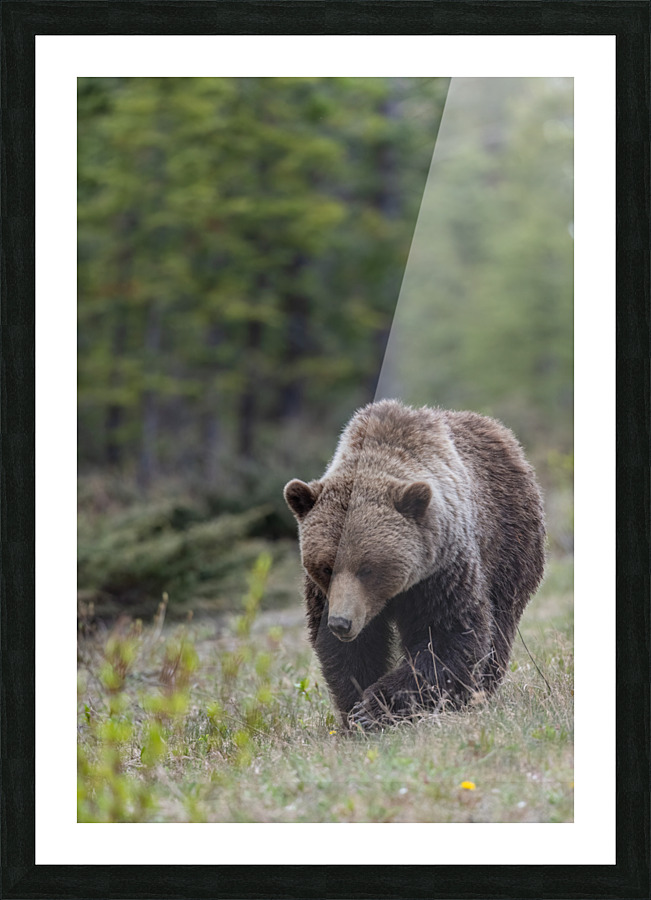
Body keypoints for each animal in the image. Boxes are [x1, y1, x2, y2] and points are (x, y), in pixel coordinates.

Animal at [284, 399, 546, 729]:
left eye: (367, 568)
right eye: (326, 567)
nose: (341, 622)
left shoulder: (442, 570)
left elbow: (447, 637)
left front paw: (373, 708)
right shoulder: (326, 594)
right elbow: (350, 652)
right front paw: (355, 710)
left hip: (508, 545)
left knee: (499, 625)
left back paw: (476, 693)